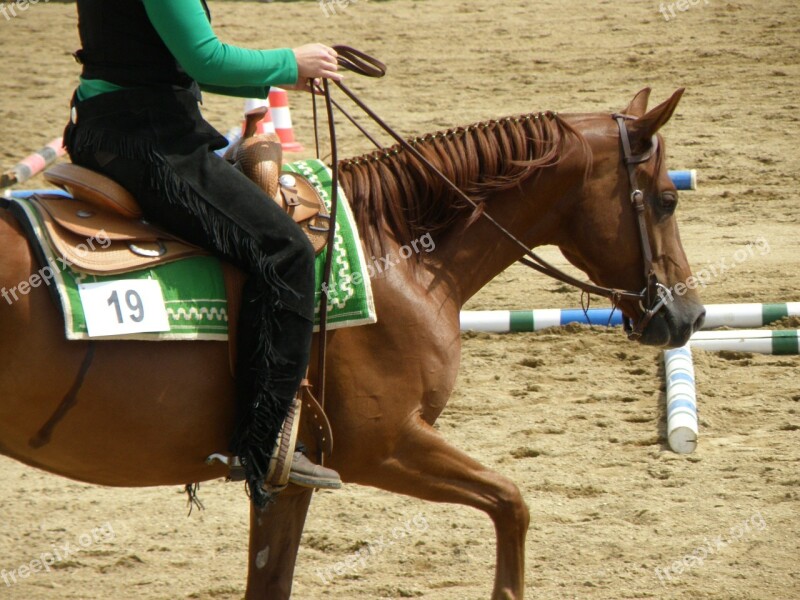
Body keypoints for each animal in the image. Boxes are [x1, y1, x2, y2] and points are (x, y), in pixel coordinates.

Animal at [0, 86, 700, 596]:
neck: (397, 253)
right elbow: (511, 502)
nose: (688, 314)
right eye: (666, 200)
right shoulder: (381, 447)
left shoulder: (287, 480)